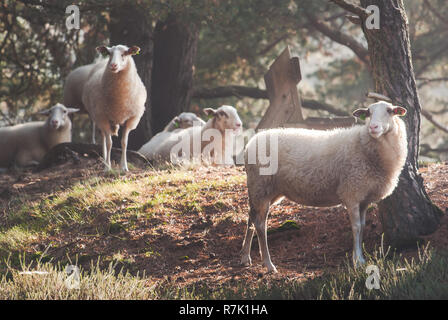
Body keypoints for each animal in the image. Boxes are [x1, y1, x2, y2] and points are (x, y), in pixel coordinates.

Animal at [81, 44, 148, 172]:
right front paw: (108, 168)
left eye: (125, 53)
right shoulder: (104, 118)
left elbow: (124, 143)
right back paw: (104, 162)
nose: (113, 65)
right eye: (109, 54)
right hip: (97, 116)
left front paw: (124, 167)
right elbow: (109, 143)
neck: (119, 101)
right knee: (103, 138)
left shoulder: (130, 120)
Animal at [242, 101, 410, 272]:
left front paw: (361, 258)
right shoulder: (351, 192)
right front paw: (357, 260)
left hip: (263, 190)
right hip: (261, 187)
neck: (363, 146)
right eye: (368, 113)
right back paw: (268, 264)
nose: (373, 127)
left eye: (389, 111)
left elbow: (363, 226)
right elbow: (356, 227)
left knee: (251, 218)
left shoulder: (364, 198)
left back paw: (245, 257)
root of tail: (251, 143)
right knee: (260, 225)